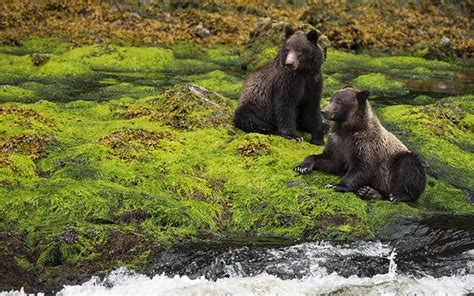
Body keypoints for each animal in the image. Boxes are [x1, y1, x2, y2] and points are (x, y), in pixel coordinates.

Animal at [294, 86, 428, 201]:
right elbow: (330, 160)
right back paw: (369, 192)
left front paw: (335, 185)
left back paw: (397, 195)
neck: (348, 129)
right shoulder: (337, 141)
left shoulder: (363, 143)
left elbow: (362, 167)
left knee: (409, 166)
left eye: (340, 101)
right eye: (331, 99)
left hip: (395, 164)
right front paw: (302, 167)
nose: (323, 111)